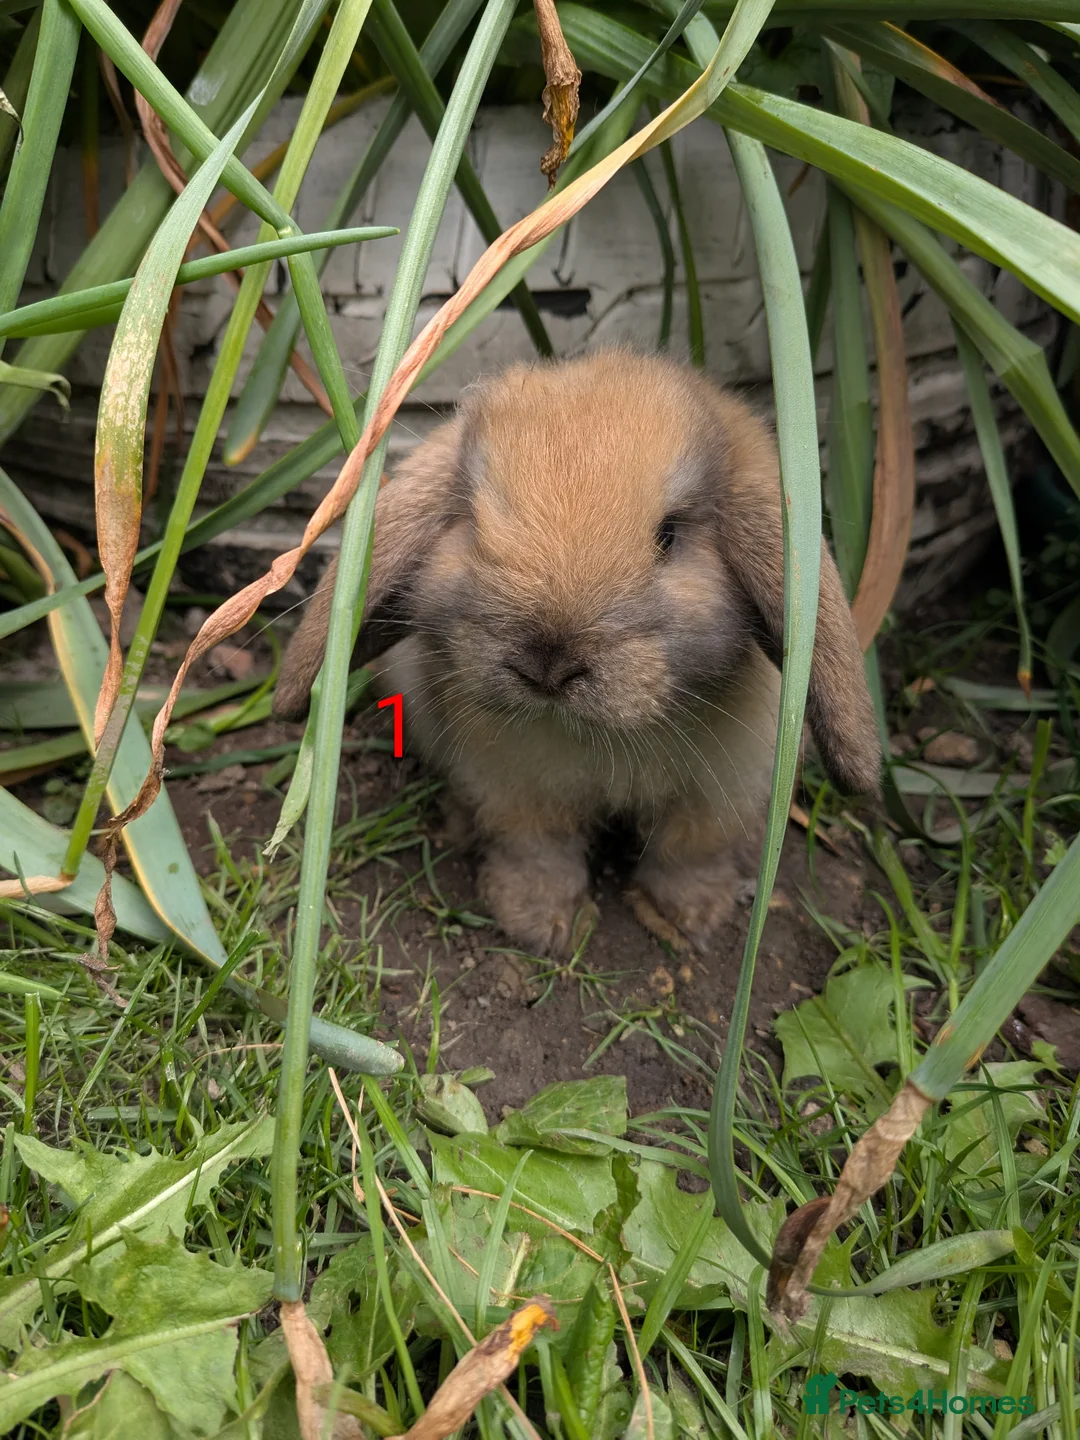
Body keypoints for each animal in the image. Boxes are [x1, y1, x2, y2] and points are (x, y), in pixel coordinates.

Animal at [273, 351, 879, 956]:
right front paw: (539, 924)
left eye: (669, 535)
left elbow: (688, 853)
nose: (547, 664)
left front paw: (690, 918)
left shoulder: (722, 791)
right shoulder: (514, 791)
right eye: (474, 524)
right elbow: (537, 853)